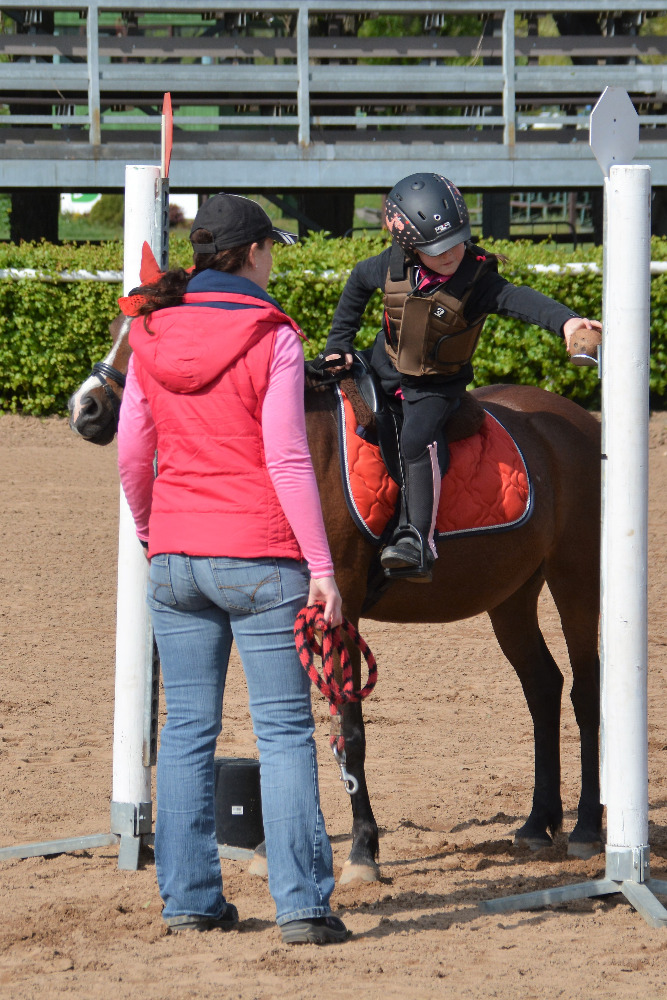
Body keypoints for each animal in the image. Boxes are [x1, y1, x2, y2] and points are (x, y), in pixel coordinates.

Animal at [69, 318, 604, 884]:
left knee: (585, 692)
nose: (85, 408)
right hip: (511, 594)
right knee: (543, 687)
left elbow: (348, 728)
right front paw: (278, 848)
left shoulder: (339, 603)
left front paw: (363, 851)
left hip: (575, 579)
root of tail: (577, 422)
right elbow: (294, 721)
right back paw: (538, 823)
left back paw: (587, 827)